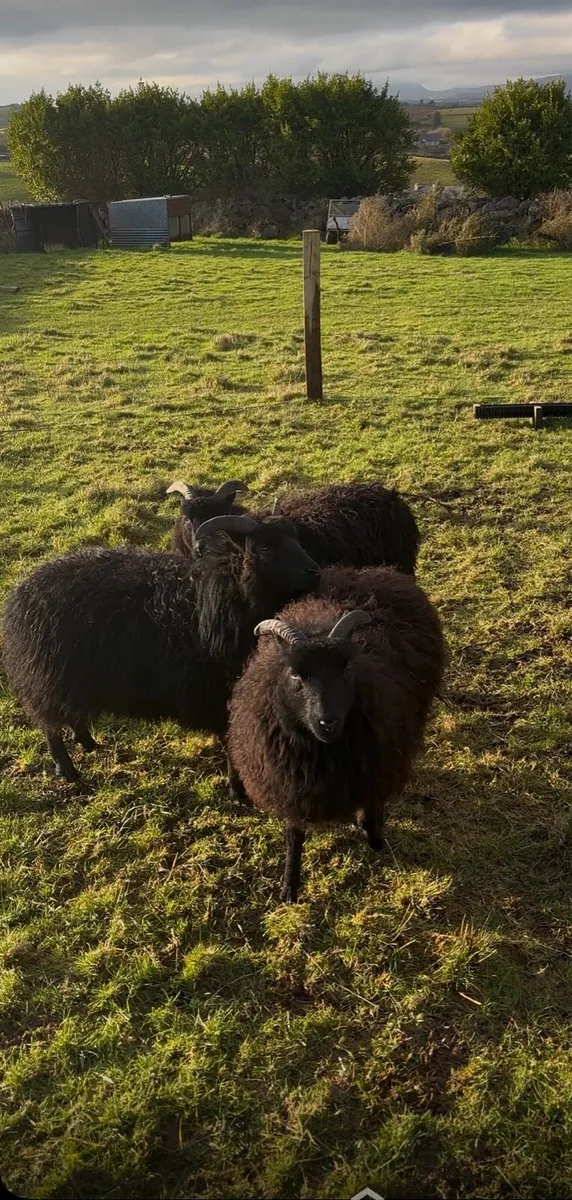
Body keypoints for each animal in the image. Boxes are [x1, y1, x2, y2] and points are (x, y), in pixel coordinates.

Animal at [1, 513, 319, 790]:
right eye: (265, 547)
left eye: (296, 539)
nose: (314, 571)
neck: (225, 592)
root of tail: (20, 593)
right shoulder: (218, 692)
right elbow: (230, 739)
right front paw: (236, 788)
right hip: (47, 678)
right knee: (49, 725)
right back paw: (67, 770)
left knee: (71, 714)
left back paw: (87, 742)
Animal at [227, 566, 445, 902]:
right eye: (295, 675)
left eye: (346, 669)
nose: (327, 721)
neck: (324, 752)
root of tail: (364, 572)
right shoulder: (290, 782)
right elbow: (294, 833)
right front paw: (289, 886)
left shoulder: (377, 762)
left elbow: (373, 804)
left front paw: (373, 838)